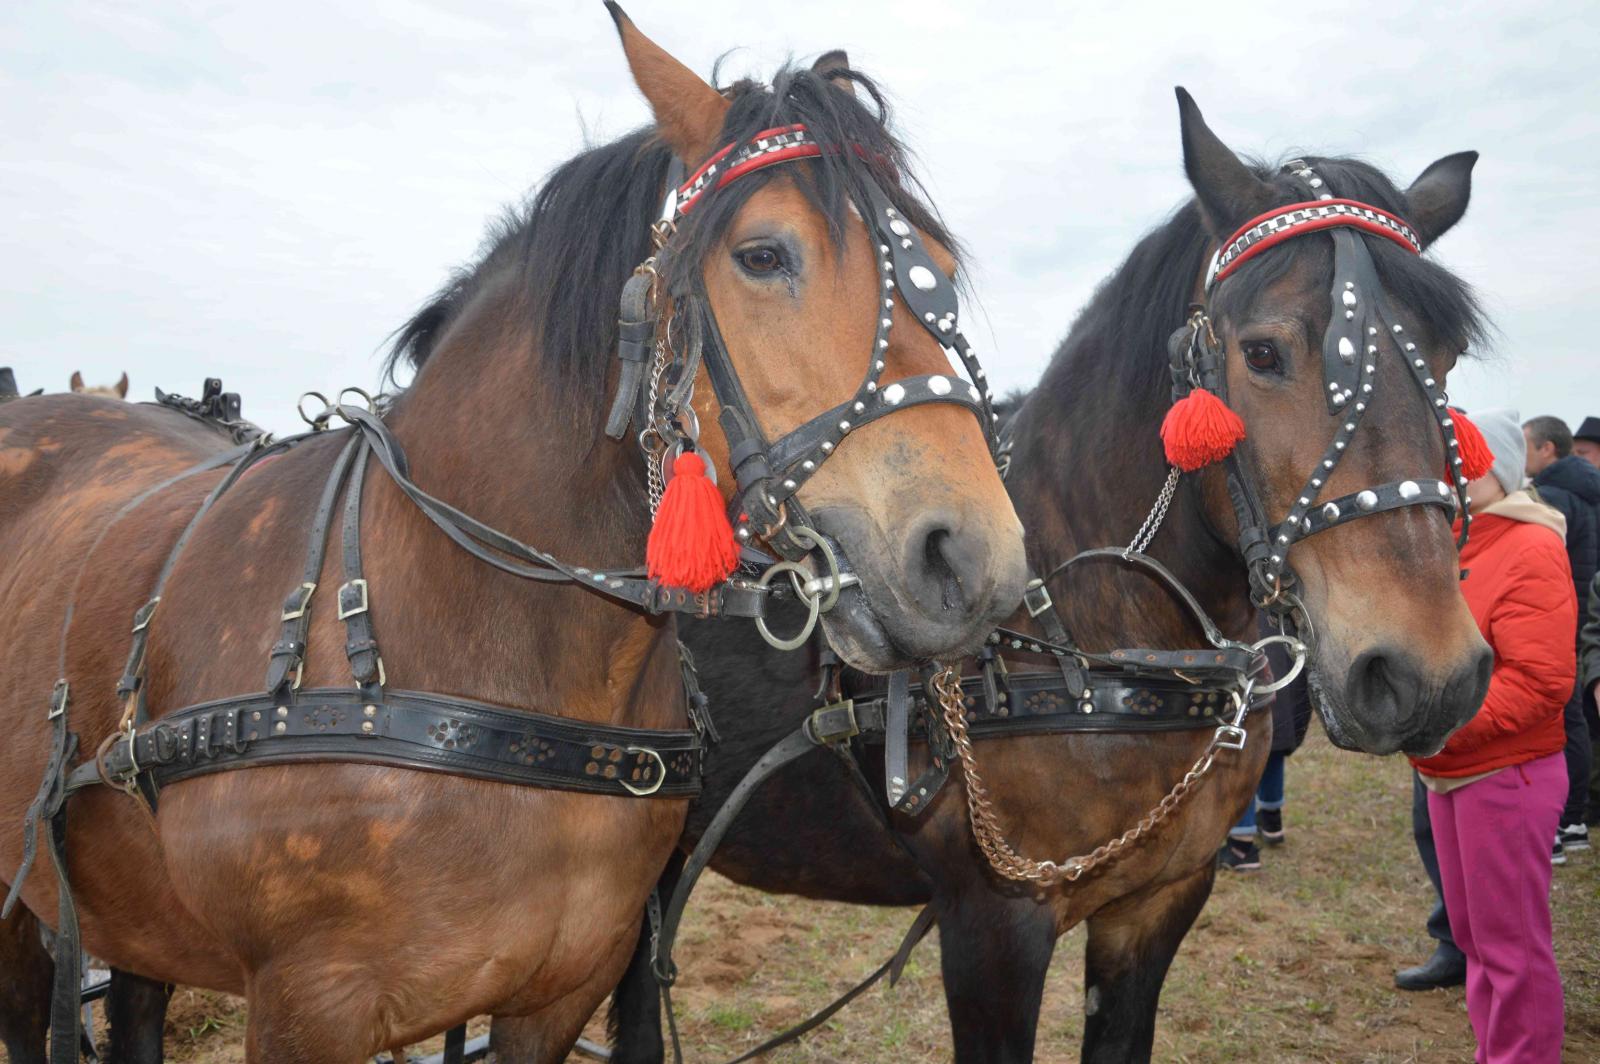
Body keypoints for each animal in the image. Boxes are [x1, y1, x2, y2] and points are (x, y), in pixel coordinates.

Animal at [563, 89, 1484, 1062]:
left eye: (1447, 355)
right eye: (1265, 353)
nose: (1428, 671)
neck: (1093, 644)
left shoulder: (1157, 905)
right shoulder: (995, 927)